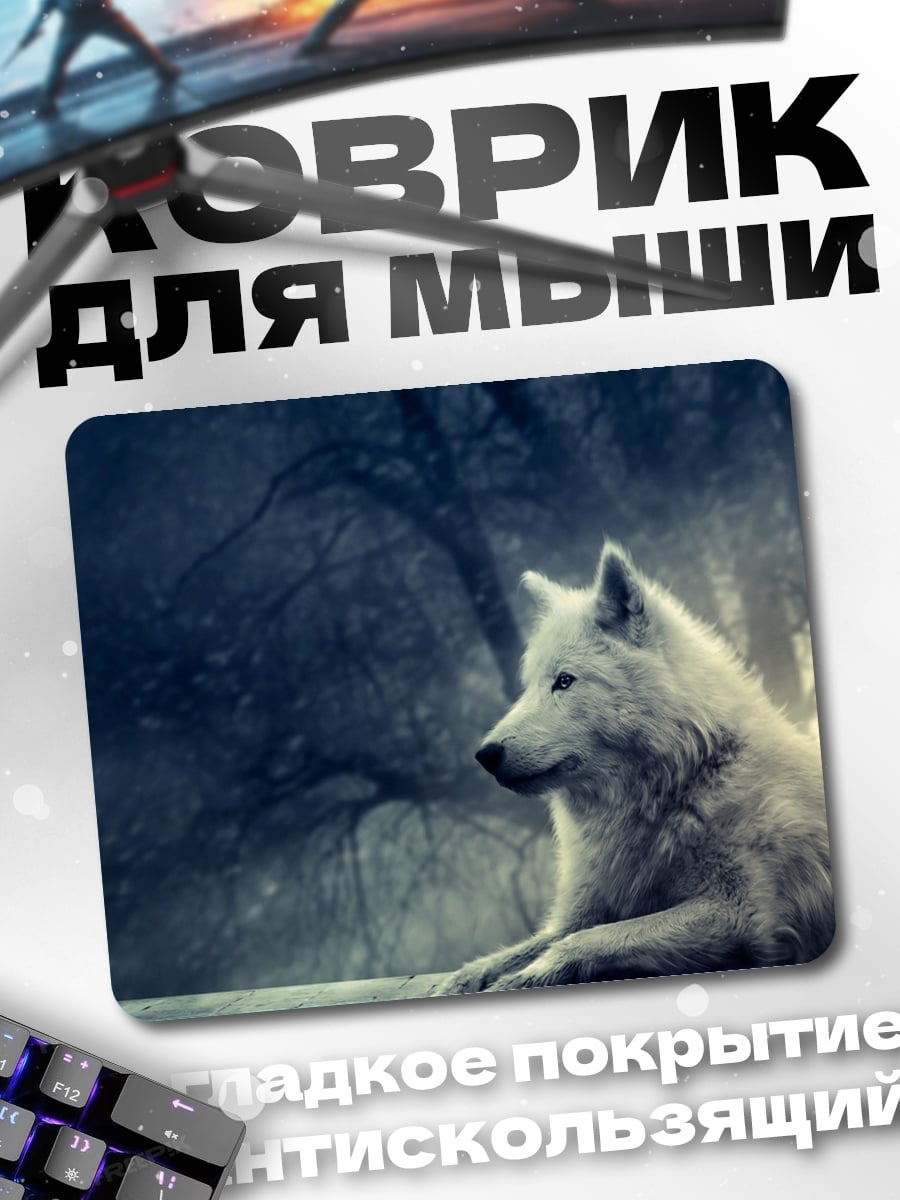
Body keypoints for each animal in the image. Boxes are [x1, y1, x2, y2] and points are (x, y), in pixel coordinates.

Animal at [439, 542, 834, 994]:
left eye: (564, 681)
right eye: (530, 686)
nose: (485, 755)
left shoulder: (740, 912)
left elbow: (585, 940)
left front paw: (526, 977)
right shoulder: (581, 911)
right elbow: (524, 948)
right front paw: (461, 982)